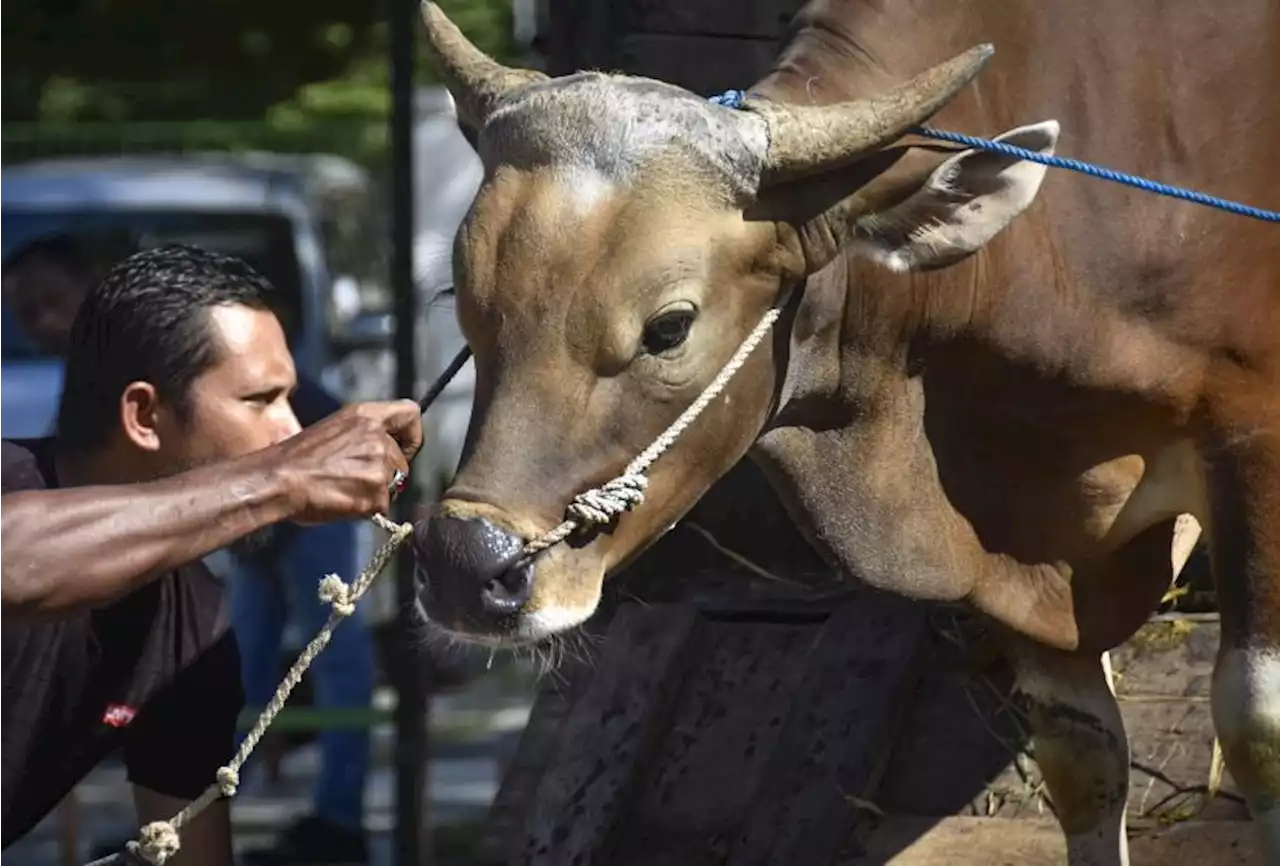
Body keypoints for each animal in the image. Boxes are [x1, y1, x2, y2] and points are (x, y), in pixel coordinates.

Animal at [414, 1, 1280, 859]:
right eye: (465, 299)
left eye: (669, 327)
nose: (464, 564)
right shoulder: (1024, 545)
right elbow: (1080, 758)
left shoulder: (1251, 444)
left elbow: (1256, 729)